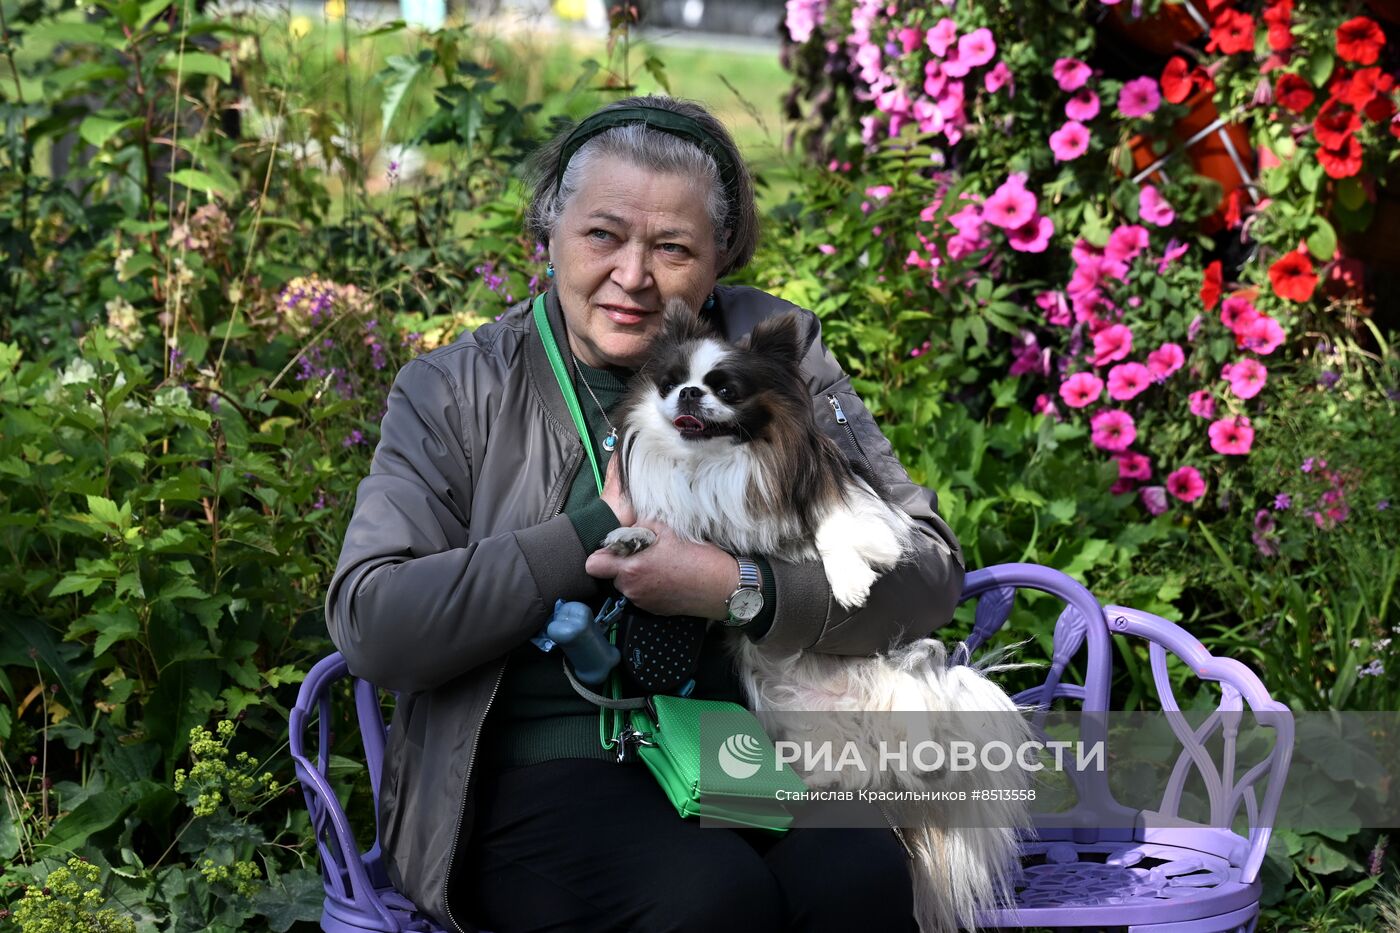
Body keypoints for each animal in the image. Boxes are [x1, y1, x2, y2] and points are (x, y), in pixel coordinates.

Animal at [602, 301, 1041, 924]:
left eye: (725, 389)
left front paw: (850, 579)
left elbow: (833, 524)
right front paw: (633, 536)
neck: (715, 463)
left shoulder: (846, 499)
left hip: (913, 687)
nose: (688, 393)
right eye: (670, 383)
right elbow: (667, 528)